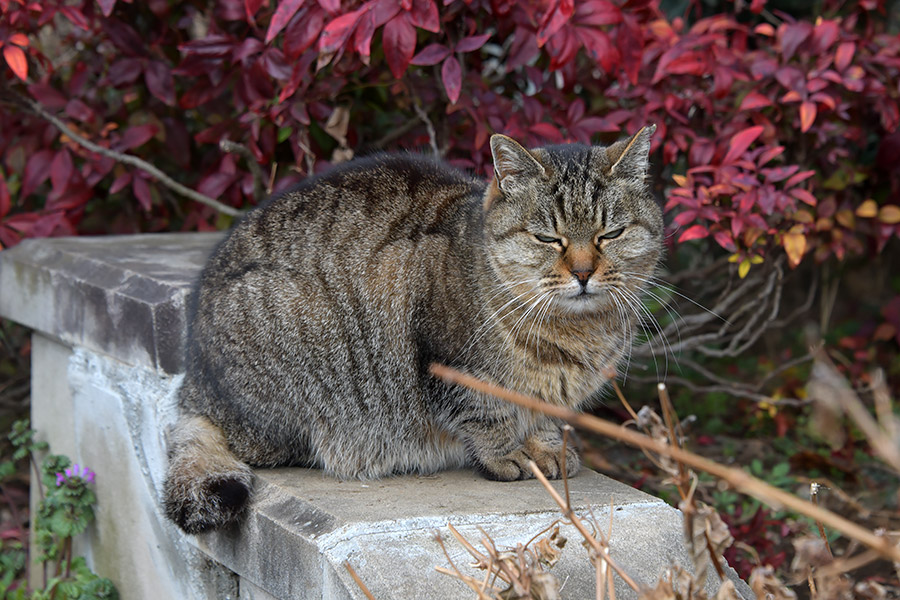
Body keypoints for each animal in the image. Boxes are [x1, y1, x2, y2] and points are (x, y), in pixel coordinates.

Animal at [163, 124, 660, 532]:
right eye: (548, 238)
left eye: (610, 234)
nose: (583, 273)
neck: (575, 332)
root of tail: (193, 381)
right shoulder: (450, 362)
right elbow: (487, 414)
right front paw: (507, 455)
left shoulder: (552, 397)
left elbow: (544, 418)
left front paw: (548, 447)